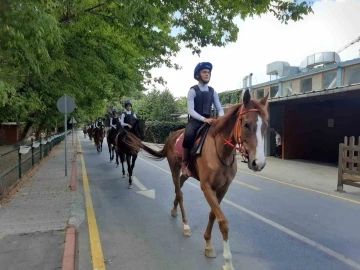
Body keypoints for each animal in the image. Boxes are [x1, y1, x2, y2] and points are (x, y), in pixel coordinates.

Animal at [123, 90, 268, 270]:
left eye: (266, 125)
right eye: (247, 124)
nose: (258, 163)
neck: (221, 151)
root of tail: (171, 137)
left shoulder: (222, 189)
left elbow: (213, 214)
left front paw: (208, 244)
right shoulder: (207, 187)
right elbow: (223, 221)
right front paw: (227, 260)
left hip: (187, 173)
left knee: (179, 188)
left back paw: (174, 210)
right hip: (174, 168)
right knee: (179, 193)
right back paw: (185, 224)